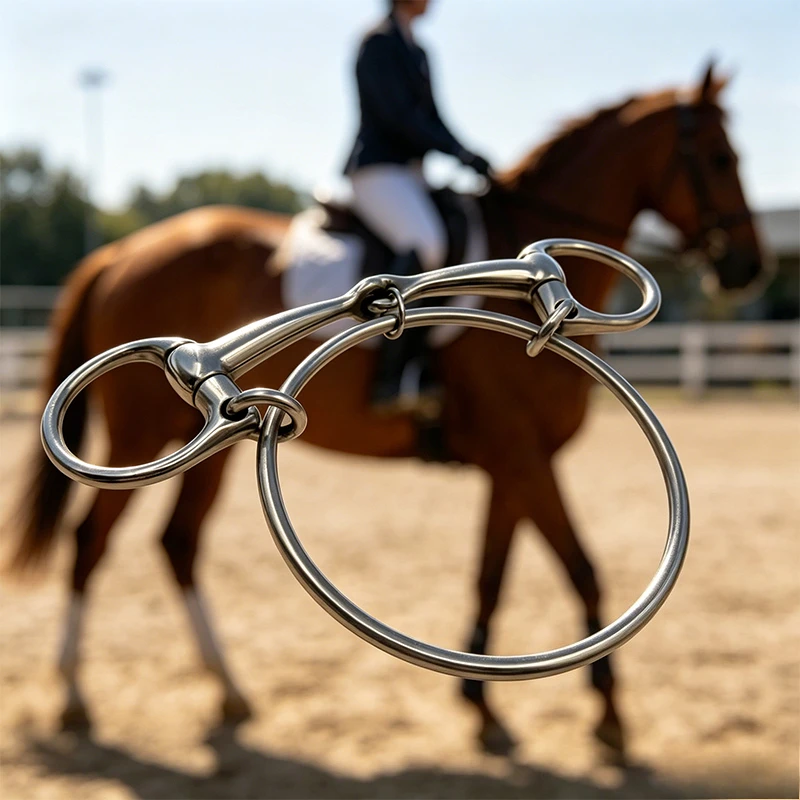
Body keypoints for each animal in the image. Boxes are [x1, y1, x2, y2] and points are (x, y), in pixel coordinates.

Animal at [10, 64, 766, 755]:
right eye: (720, 157)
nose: (745, 266)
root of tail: (117, 256)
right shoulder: (521, 456)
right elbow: (580, 569)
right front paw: (607, 713)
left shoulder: (513, 464)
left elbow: (492, 577)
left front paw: (484, 705)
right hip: (144, 432)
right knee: (90, 544)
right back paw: (75, 697)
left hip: (200, 447)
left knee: (178, 545)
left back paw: (227, 690)